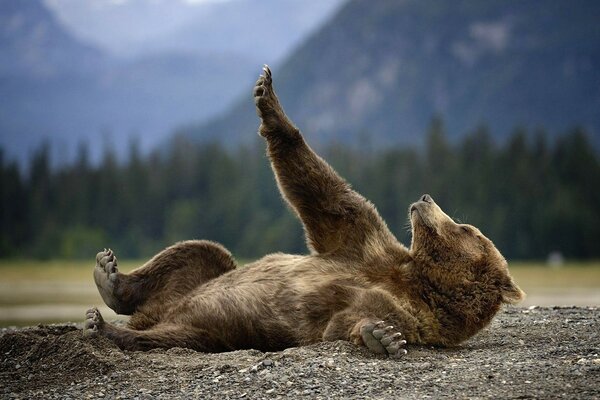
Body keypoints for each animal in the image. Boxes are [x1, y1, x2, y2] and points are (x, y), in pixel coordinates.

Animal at [84, 66, 524, 360]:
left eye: (466, 228)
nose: (427, 197)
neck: (419, 279)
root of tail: (156, 314)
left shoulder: (410, 311)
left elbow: (349, 320)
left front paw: (381, 336)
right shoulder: (364, 243)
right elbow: (325, 196)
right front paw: (266, 95)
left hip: (214, 330)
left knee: (172, 337)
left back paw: (106, 328)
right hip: (198, 283)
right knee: (202, 253)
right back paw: (110, 277)